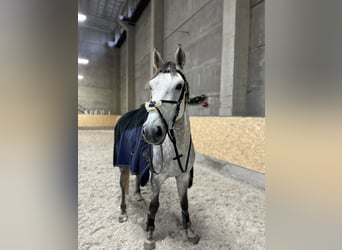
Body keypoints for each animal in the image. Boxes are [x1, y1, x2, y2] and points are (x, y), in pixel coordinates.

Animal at [113, 45, 199, 250]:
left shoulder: (183, 176)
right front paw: (149, 236)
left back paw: (137, 195)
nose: (152, 131)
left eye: (179, 86)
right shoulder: (157, 179)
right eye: (151, 86)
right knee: (122, 185)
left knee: (137, 176)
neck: (175, 147)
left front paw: (189, 231)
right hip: (123, 165)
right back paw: (123, 212)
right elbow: (154, 206)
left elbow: (184, 203)